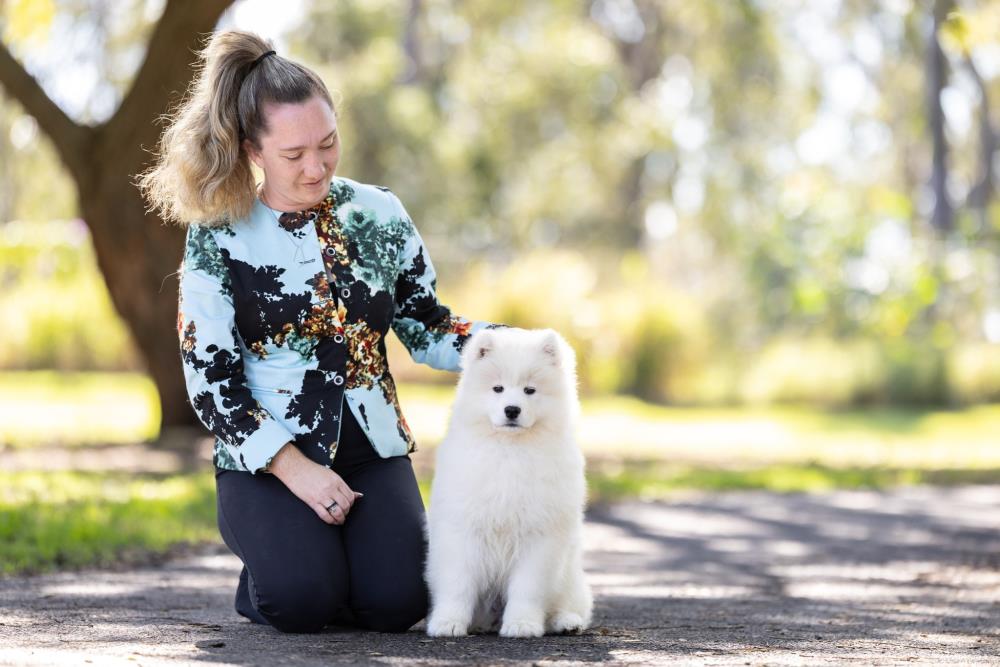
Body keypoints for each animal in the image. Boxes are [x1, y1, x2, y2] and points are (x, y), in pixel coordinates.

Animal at [424, 327, 593, 637]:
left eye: (530, 390)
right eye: (498, 389)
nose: (512, 410)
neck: (509, 450)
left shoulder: (540, 537)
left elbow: (528, 589)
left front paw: (522, 624)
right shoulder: (461, 532)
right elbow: (458, 584)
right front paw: (448, 623)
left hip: (569, 574)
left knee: (567, 604)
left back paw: (566, 622)